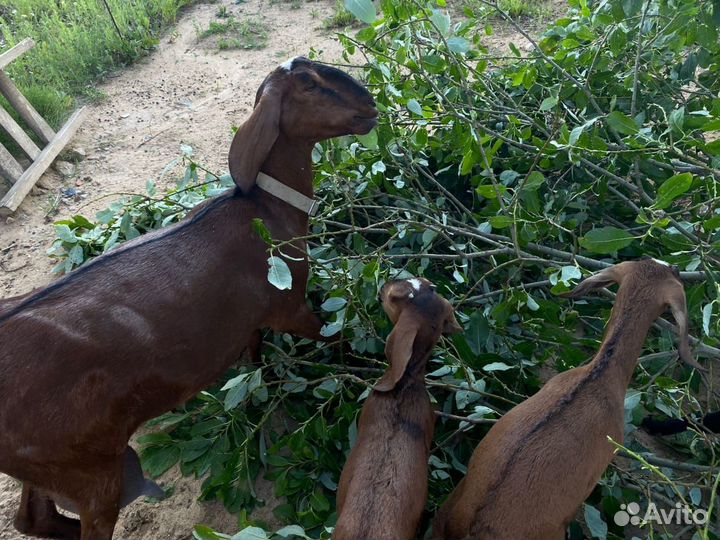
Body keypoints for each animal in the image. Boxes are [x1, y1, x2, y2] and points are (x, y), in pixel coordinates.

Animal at [0, 57, 377, 540]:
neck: (264, 212)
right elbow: (334, 337)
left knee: (32, 518)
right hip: (88, 470)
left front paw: (261, 391)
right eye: (310, 84)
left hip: (47, 467)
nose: (370, 105)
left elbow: (254, 351)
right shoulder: (290, 305)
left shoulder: (249, 320)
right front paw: (375, 365)